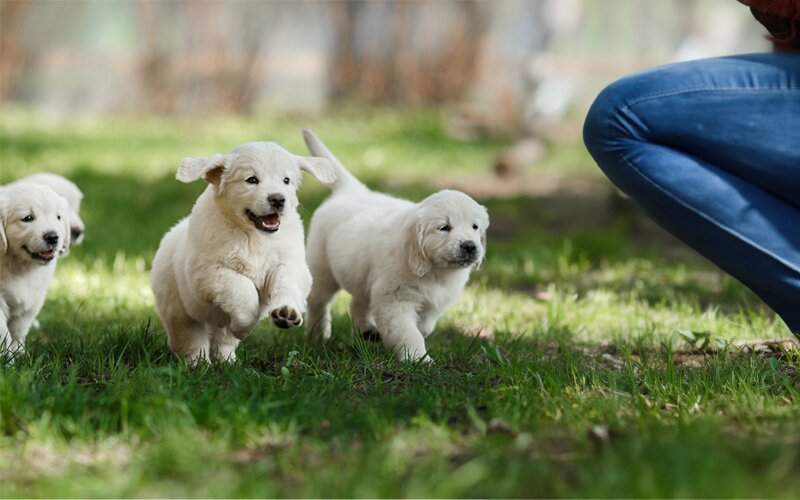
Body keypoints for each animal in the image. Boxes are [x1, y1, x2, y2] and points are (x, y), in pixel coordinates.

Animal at [0, 185, 70, 356]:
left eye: (58, 217)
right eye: (28, 218)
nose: (53, 237)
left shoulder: (34, 300)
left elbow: (18, 330)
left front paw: (19, 354)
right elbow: (3, 332)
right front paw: (7, 358)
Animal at [150, 140, 334, 364]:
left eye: (286, 180)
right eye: (251, 180)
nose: (278, 199)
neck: (253, 235)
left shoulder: (289, 263)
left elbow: (286, 283)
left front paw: (286, 312)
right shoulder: (208, 272)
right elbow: (242, 288)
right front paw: (244, 327)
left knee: (223, 340)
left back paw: (228, 362)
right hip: (179, 310)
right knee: (190, 340)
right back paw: (200, 364)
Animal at [302, 131, 488, 362]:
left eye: (475, 227)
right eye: (444, 227)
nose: (470, 246)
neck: (435, 270)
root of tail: (351, 191)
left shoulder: (433, 302)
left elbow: (424, 325)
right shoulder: (395, 300)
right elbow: (408, 332)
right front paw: (418, 359)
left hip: (360, 274)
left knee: (357, 303)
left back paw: (369, 331)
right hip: (322, 270)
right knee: (317, 302)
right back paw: (317, 334)